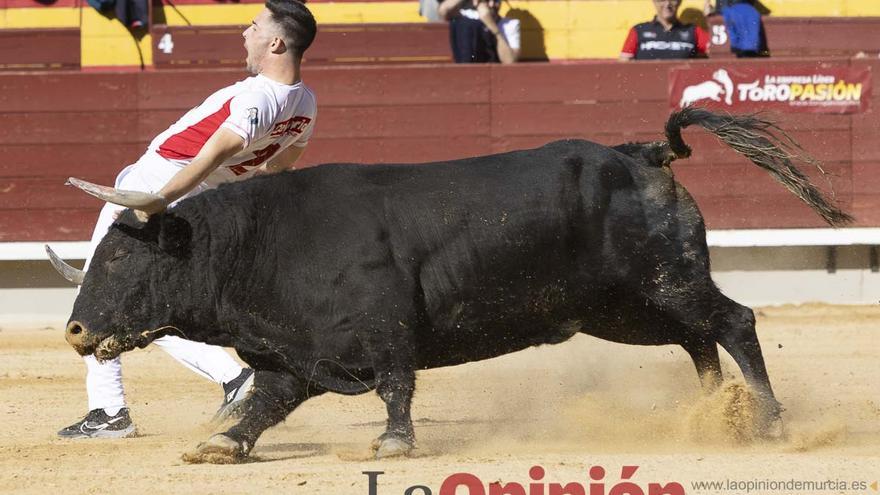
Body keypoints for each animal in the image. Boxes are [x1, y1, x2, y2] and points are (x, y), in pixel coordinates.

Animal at [48, 107, 852, 462]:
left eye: (116, 260)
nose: (77, 330)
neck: (255, 244)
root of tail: (638, 152)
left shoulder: (386, 329)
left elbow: (397, 384)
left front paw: (394, 443)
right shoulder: (296, 354)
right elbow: (266, 404)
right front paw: (223, 443)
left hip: (666, 278)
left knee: (734, 322)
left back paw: (766, 422)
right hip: (624, 307)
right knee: (697, 339)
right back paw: (713, 416)